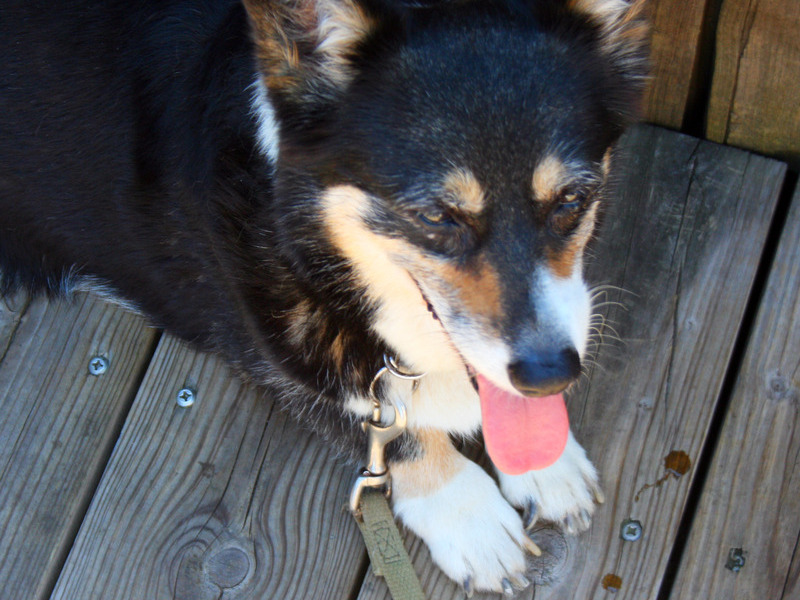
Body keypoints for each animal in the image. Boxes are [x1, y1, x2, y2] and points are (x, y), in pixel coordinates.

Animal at [0, 0, 648, 592]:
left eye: (572, 199)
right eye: (435, 216)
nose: (550, 375)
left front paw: (548, 467)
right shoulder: (281, 360)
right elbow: (390, 427)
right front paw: (470, 518)